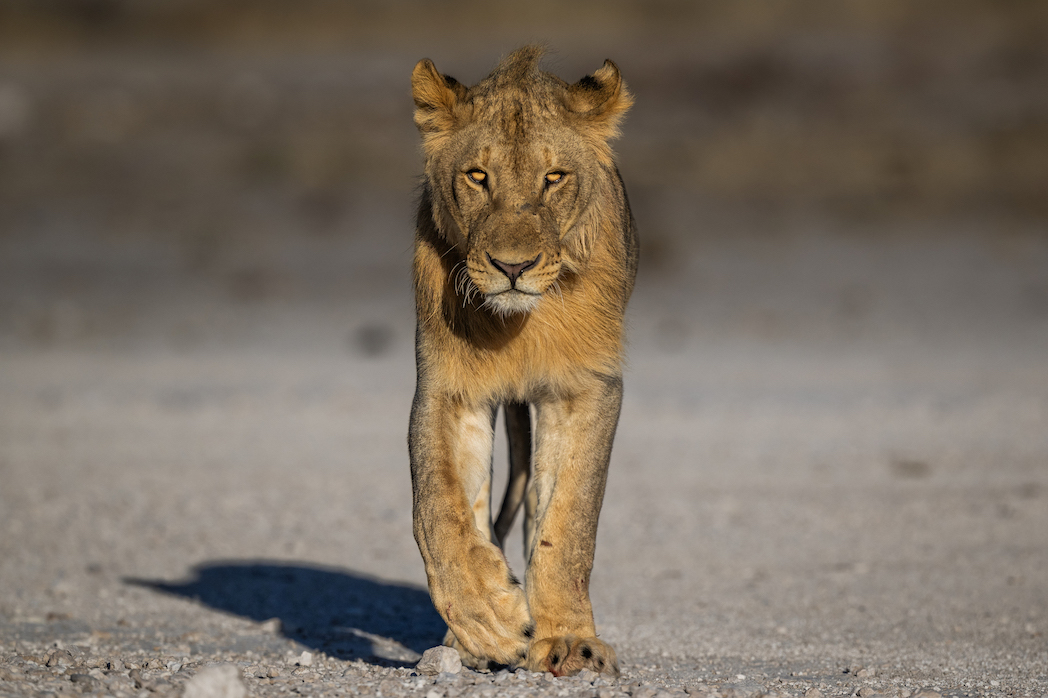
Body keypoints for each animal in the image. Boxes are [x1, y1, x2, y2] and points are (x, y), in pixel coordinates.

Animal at [408, 45, 637, 677]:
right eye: (477, 176)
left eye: (553, 178)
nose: (513, 267)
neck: (516, 327)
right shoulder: (448, 390)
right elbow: (439, 509)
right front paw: (488, 619)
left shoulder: (586, 387)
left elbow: (568, 522)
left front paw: (567, 640)